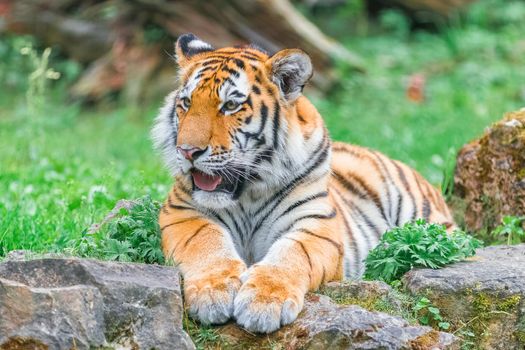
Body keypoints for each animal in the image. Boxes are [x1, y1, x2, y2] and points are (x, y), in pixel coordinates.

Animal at [151, 34, 454, 334]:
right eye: (187, 102)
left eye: (231, 106)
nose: (188, 151)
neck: (248, 193)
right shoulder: (182, 211)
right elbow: (206, 242)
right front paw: (213, 292)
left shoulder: (316, 224)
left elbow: (291, 254)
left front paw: (264, 303)